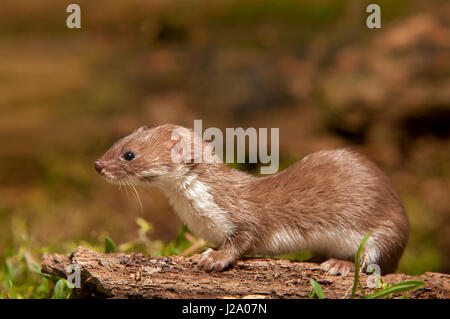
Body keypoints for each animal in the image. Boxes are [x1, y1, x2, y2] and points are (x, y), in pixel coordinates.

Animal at [94, 124, 408, 276]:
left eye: (129, 154)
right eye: (118, 141)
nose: (97, 164)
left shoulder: (244, 216)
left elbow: (245, 239)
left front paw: (214, 258)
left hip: (384, 228)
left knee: (377, 258)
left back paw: (339, 264)